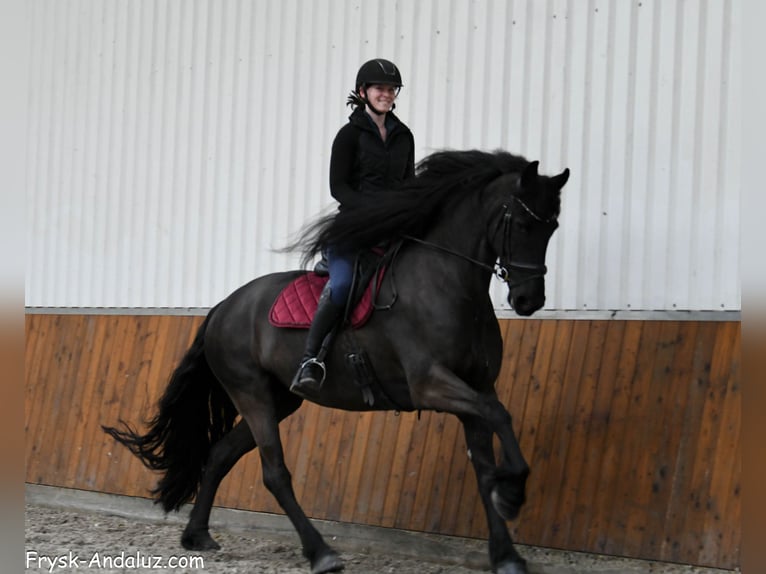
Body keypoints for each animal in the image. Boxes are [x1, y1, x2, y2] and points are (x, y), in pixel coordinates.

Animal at [103, 149, 569, 574]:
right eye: (524, 224)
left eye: (553, 227)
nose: (528, 301)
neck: (449, 284)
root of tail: (222, 307)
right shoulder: (431, 383)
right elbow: (500, 414)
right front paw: (513, 493)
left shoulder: (475, 386)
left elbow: (485, 463)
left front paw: (507, 553)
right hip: (250, 392)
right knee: (274, 472)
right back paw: (321, 553)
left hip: (279, 398)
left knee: (220, 454)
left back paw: (197, 535)